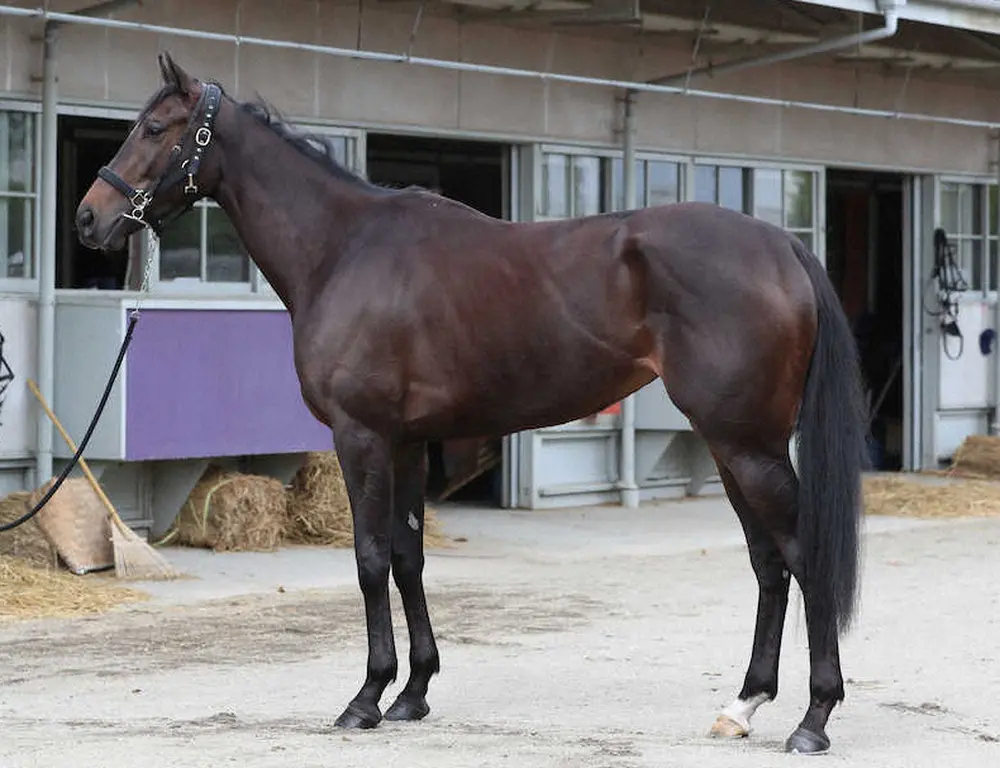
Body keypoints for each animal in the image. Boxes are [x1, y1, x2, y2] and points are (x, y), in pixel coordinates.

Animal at [75, 52, 870, 756]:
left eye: (155, 127)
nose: (89, 218)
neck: (344, 248)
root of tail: (781, 246)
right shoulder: (404, 442)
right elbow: (407, 556)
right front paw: (412, 693)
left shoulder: (361, 437)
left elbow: (369, 558)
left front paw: (365, 698)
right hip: (732, 443)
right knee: (769, 563)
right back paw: (743, 706)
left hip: (747, 444)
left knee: (802, 554)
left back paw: (814, 717)